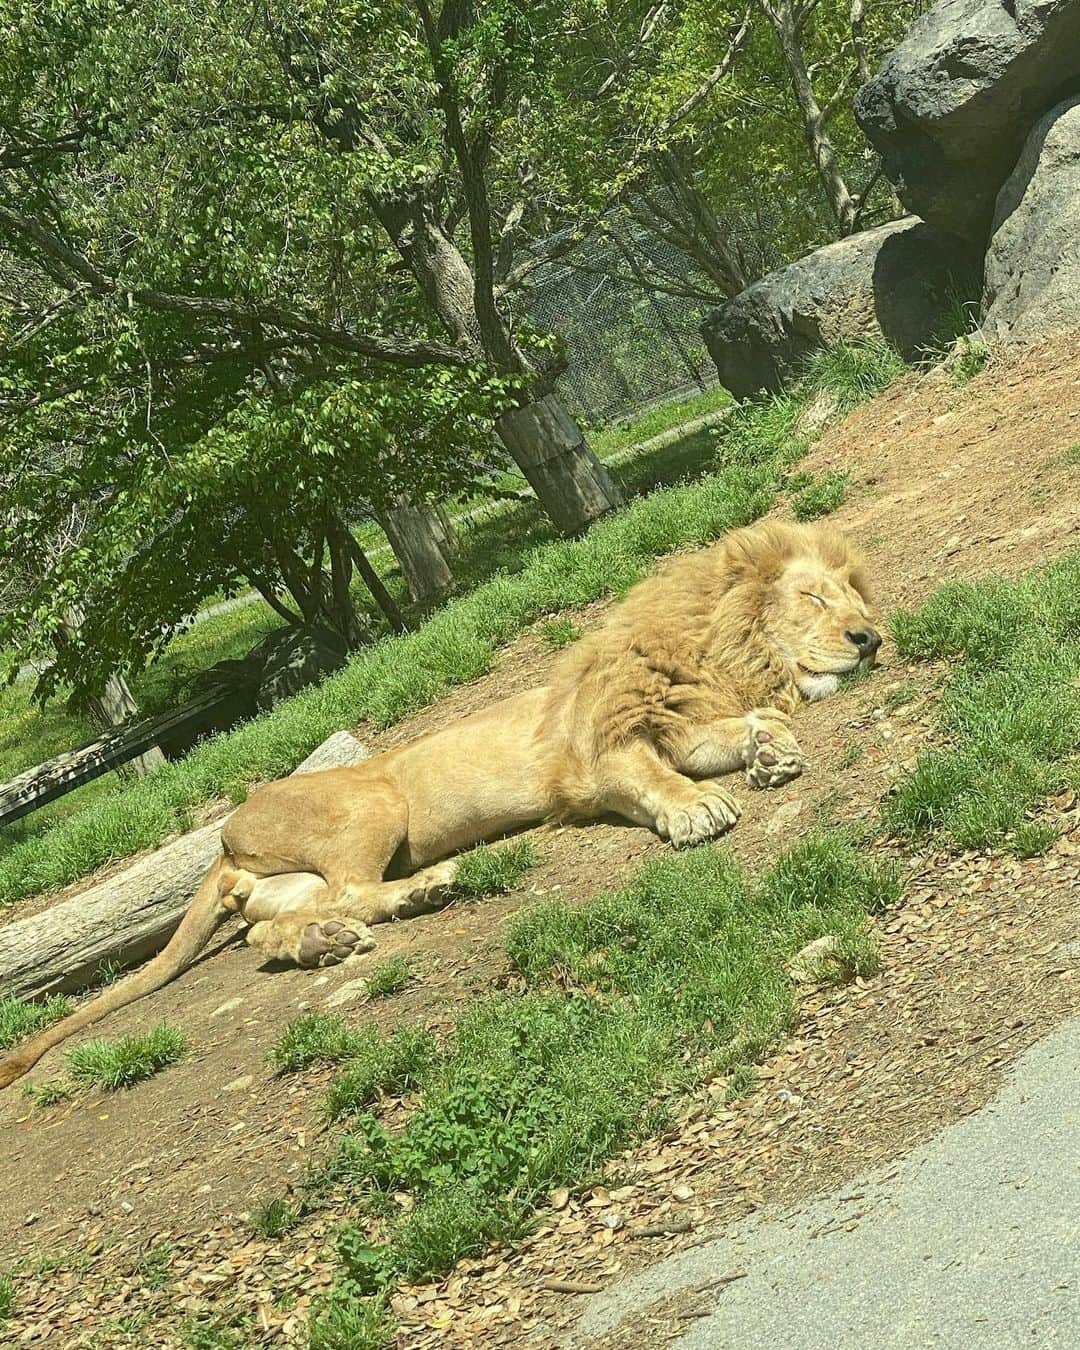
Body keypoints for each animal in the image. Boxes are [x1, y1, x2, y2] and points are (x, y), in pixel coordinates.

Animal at [0, 515, 874, 1085]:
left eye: (854, 598)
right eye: (815, 599)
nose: (871, 637)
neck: (718, 651)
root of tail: (220, 840)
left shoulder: (683, 728)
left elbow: (733, 732)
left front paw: (769, 748)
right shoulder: (599, 761)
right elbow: (658, 782)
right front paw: (699, 809)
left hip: (287, 886)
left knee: (266, 933)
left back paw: (321, 943)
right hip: (372, 804)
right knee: (356, 887)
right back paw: (425, 889)